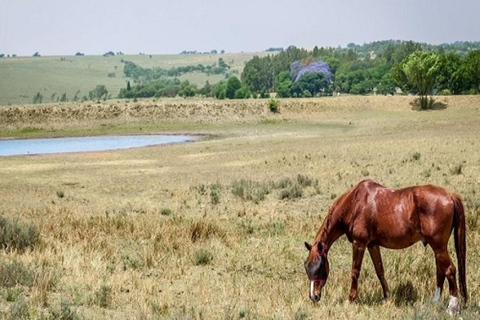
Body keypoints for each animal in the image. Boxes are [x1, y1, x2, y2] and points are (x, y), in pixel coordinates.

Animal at [304, 180, 464, 312]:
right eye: (307, 267)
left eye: (320, 266)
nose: (313, 296)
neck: (355, 203)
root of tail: (450, 195)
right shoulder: (372, 245)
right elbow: (380, 271)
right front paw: (387, 297)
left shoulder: (359, 244)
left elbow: (355, 271)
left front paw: (351, 299)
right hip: (438, 248)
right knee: (441, 271)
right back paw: (435, 302)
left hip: (439, 247)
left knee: (450, 270)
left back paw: (452, 307)